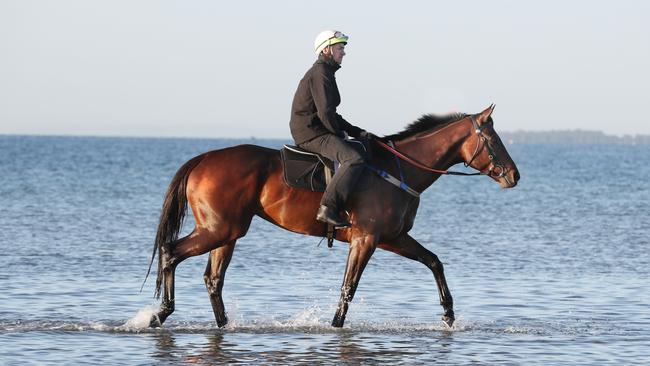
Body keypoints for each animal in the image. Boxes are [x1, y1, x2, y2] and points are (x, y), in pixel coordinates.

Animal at [146, 104, 516, 328]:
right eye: (493, 139)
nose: (514, 175)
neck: (400, 169)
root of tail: (203, 158)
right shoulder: (367, 239)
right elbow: (349, 286)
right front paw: (336, 325)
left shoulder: (393, 238)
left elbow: (434, 262)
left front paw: (449, 314)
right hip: (218, 229)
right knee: (171, 252)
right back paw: (161, 312)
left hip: (227, 233)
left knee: (212, 279)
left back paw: (222, 324)